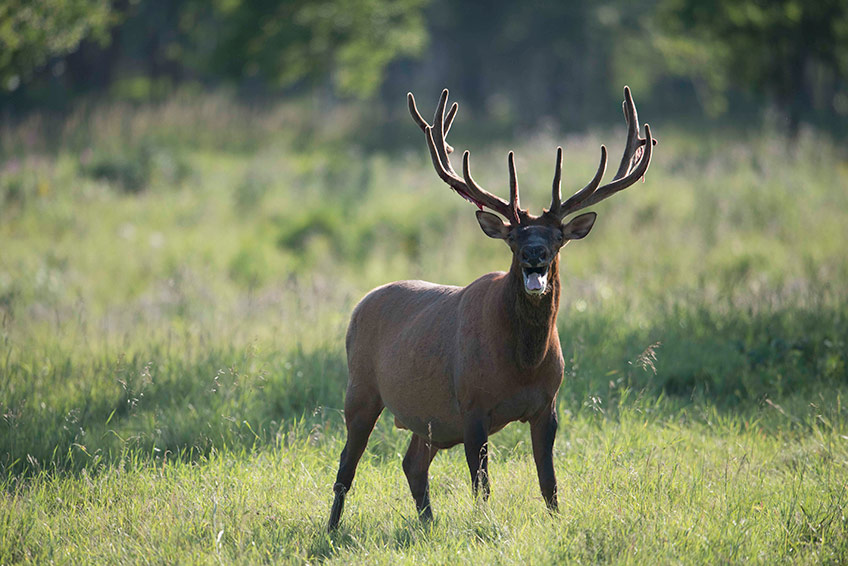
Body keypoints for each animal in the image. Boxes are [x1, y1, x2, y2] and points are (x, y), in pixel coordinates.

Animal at [327, 87, 654, 531]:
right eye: (514, 238)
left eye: (557, 238)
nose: (534, 255)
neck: (522, 364)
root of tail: (360, 304)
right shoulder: (472, 404)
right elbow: (481, 485)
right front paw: (485, 527)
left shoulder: (548, 404)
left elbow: (549, 482)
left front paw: (556, 523)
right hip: (360, 389)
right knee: (346, 466)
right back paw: (331, 528)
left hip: (430, 420)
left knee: (412, 463)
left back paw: (427, 524)